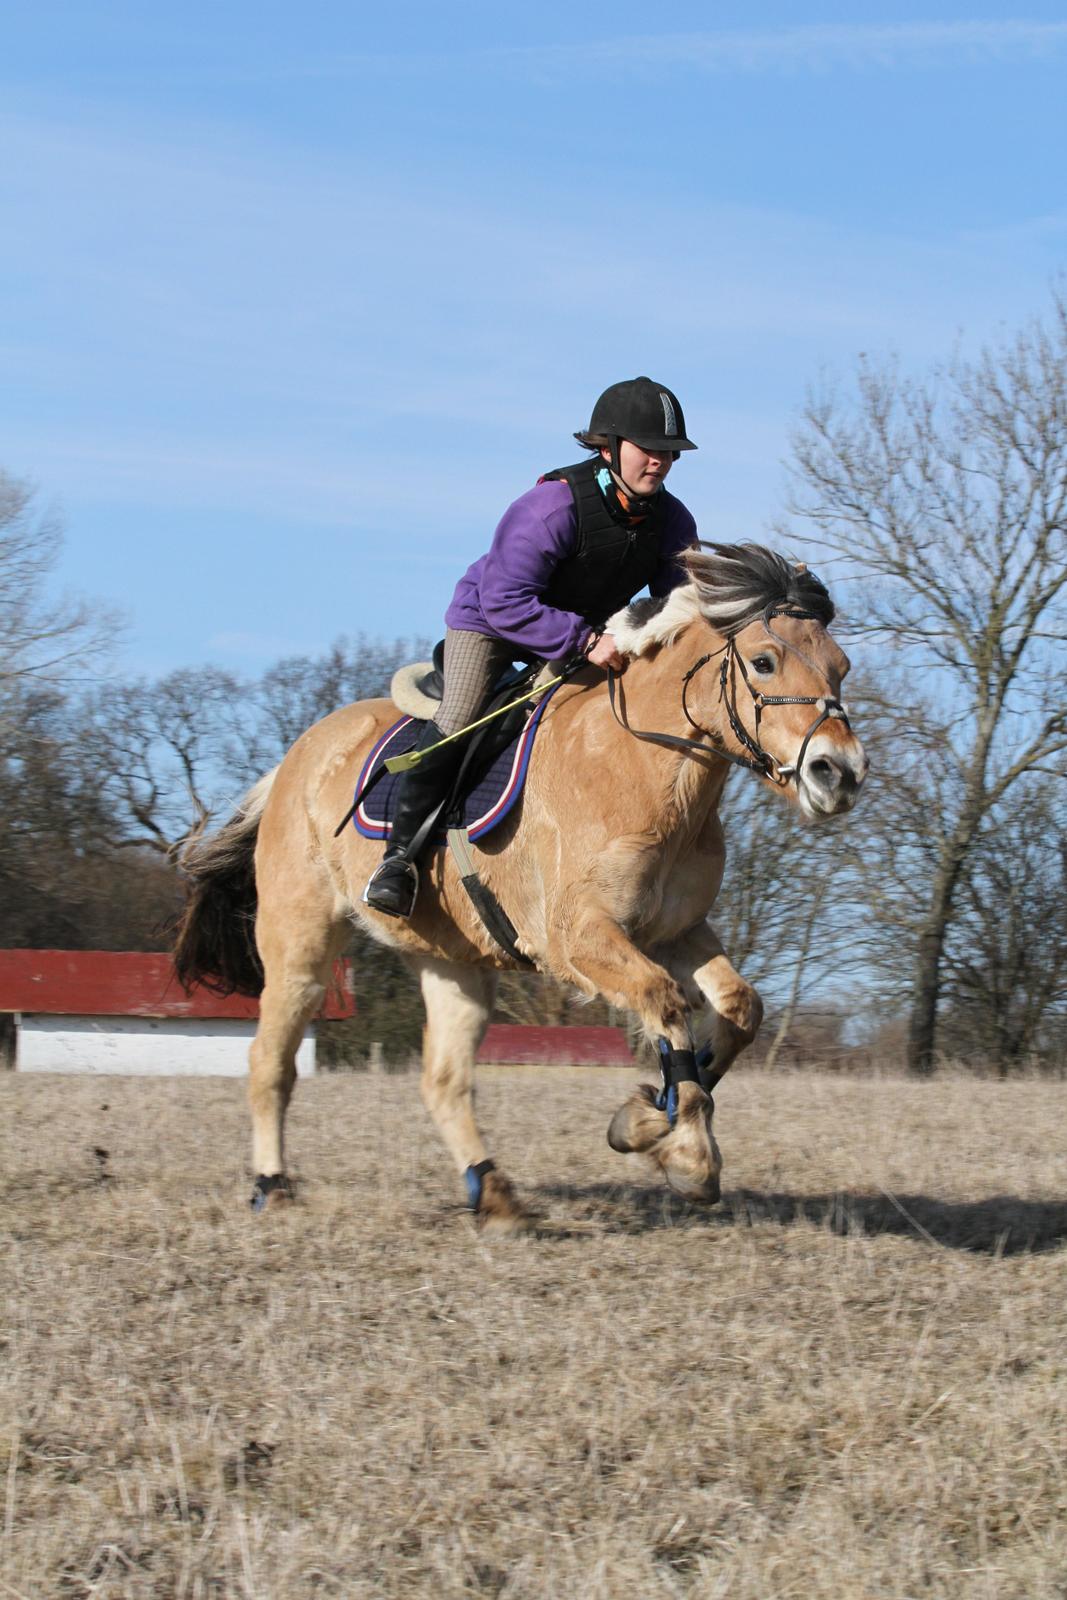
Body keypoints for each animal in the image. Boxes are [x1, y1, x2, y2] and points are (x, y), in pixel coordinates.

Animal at [173, 544, 870, 1228]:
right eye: (764, 662)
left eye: (841, 667)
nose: (840, 774)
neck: (648, 774)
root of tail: (298, 756)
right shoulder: (577, 938)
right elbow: (664, 1003)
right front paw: (683, 1149)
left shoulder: (675, 933)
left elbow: (739, 1010)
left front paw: (648, 1116)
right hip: (301, 943)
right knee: (271, 1062)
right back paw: (272, 1185)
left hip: (456, 965)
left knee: (443, 1082)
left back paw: (493, 1192)